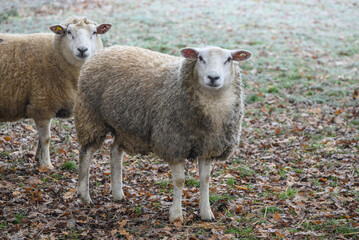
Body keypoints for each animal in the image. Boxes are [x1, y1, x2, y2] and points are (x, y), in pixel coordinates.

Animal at [0, 16, 111, 169]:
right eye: (69, 32)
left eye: (94, 32)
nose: (82, 50)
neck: (54, 55)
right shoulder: (42, 105)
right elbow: (46, 139)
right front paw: (46, 165)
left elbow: (40, 139)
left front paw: (38, 158)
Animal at [74, 45, 252, 223]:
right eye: (200, 58)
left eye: (229, 59)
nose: (213, 77)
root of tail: (106, 50)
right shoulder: (173, 144)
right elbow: (179, 181)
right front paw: (176, 215)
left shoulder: (208, 147)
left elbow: (205, 179)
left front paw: (206, 213)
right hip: (91, 116)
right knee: (86, 153)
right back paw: (84, 195)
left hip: (126, 126)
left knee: (115, 151)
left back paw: (118, 193)